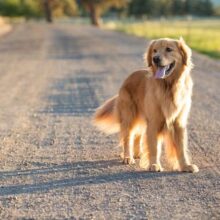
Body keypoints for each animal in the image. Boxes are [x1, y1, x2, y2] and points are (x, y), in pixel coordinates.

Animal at [93, 37, 199, 173]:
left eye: (169, 49)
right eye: (154, 50)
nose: (155, 59)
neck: (169, 87)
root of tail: (127, 78)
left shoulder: (178, 123)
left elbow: (181, 148)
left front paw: (185, 166)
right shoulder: (154, 122)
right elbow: (154, 147)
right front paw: (154, 165)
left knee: (137, 135)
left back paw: (138, 153)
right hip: (129, 116)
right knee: (128, 138)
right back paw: (128, 157)